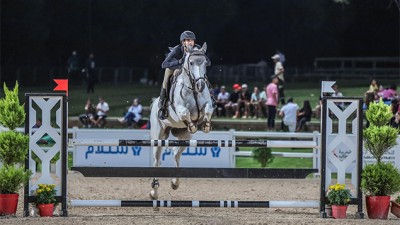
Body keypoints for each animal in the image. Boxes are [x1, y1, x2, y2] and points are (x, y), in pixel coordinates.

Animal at [148, 42, 214, 199]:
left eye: (205, 63)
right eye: (191, 63)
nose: (201, 86)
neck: (193, 88)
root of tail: (154, 103)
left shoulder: (206, 105)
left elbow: (208, 109)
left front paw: (205, 125)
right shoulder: (180, 110)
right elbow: (185, 113)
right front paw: (193, 125)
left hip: (185, 137)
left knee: (176, 153)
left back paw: (175, 183)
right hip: (158, 136)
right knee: (156, 160)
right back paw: (154, 191)